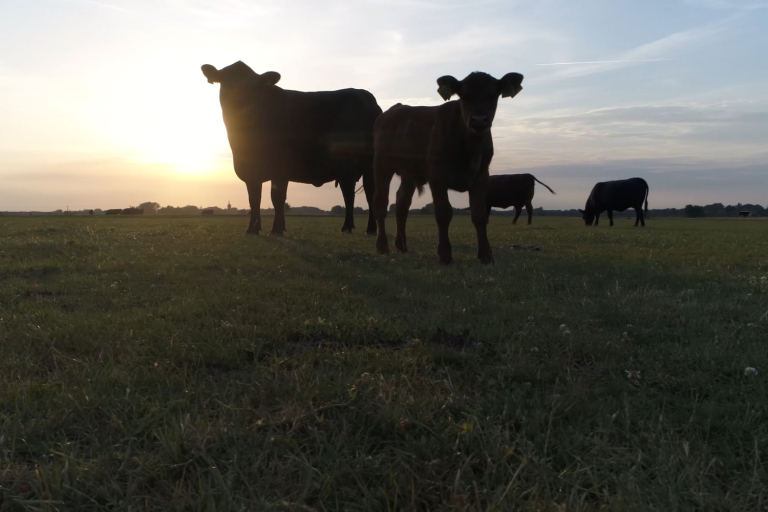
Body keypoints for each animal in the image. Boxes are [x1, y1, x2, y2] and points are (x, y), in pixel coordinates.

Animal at [201, 61, 382, 235]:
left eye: (253, 86)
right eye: (226, 82)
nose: (240, 101)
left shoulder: (280, 168)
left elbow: (277, 198)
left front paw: (277, 229)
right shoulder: (250, 171)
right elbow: (254, 199)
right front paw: (253, 229)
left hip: (369, 166)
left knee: (371, 193)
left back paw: (371, 229)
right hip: (346, 169)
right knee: (348, 193)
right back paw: (347, 227)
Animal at [372, 71, 524, 264]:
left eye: (492, 95)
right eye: (464, 96)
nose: (479, 120)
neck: (469, 147)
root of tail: (394, 109)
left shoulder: (481, 176)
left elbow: (480, 214)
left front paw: (486, 255)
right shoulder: (437, 177)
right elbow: (443, 213)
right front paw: (444, 254)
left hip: (409, 173)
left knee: (401, 204)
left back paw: (402, 246)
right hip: (382, 164)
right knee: (381, 202)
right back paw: (382, 246)